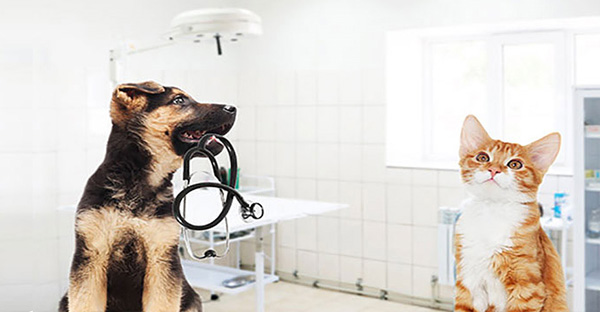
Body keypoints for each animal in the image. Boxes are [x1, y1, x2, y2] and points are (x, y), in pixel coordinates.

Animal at [454, 115, 568, 312]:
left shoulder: (528, 286)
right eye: (482, 157)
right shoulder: (467, 281)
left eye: (515, 164)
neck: (492, 211)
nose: (494, 169)